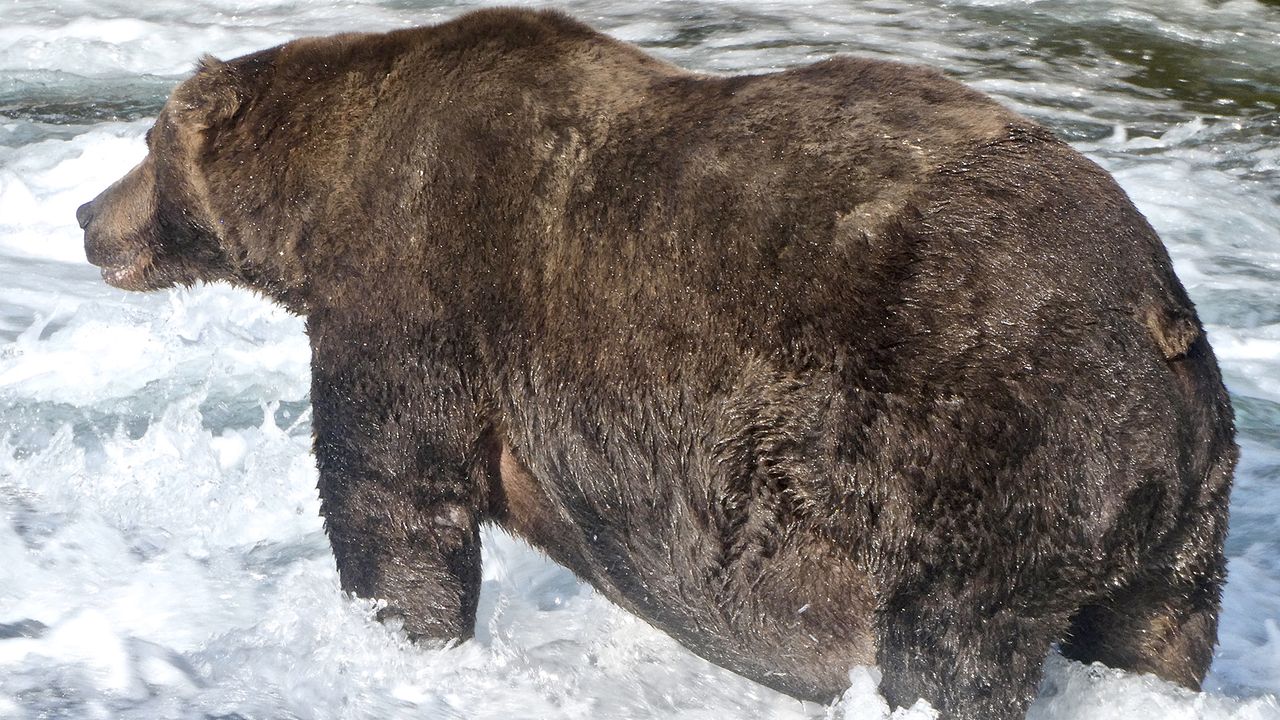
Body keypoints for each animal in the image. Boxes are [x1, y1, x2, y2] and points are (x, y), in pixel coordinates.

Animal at [75, 9, 1236, 719]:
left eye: (145, 143)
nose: (87, 217)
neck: (318, 204)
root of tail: (1158, 316)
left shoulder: (417, 284)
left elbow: (393, 494)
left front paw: (398, 635)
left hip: (980, 443)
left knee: (950, 647)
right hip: (1177, 511)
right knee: (1154, 631)